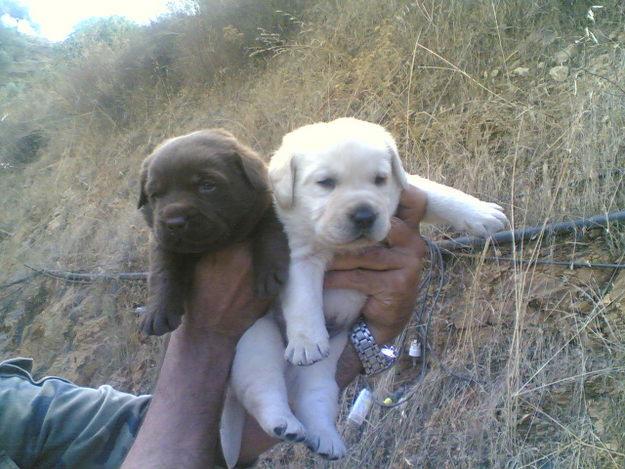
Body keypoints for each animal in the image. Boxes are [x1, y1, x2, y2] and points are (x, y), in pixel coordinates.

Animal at [136, 127, 288, 332]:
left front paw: (268, 273)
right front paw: (157, 312)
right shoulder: (160, 238)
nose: (174, 222)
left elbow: (270, 230)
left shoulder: (267, 201)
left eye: (207, 186)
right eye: (155, 195)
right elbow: (162, 269)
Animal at [219, 119, 508, 462]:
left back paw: (326, 439)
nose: (365, 215)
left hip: (329, 361)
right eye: (326, 182)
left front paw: (482, 214)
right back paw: (284, 422)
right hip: (255, 341)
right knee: (262, 390)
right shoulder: (296, 253)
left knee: (315, 397)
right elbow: (303, 298)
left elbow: (436, 192)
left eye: (379, 179)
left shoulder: (404, 190)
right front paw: (307, 341)